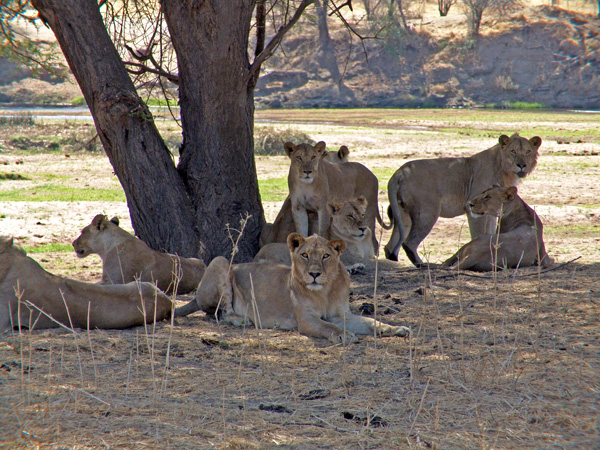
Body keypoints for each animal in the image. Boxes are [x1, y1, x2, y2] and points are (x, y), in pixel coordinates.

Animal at [173, 234, 408, 342]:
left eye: (325, 256)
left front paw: (396, 329)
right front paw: (343, 335)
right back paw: (240, 319)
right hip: (221, 261)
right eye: (305, 255)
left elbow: (371, 321)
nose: (314, 274)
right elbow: (328, 327)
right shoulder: (306, 319)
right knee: (221, 312)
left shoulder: (341, 315)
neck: (325, 291)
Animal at [384, 134, 544, 268]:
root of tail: (399, 172)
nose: (522, 165)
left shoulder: (491, 212)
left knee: (391, 245)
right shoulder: (473, 208)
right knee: (408, 243)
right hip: (427, 213)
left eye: (528, 152)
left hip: (402, 213)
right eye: (513, 151)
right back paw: (422, 265)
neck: (502, 167)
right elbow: (478, 233)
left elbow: (490, 231)